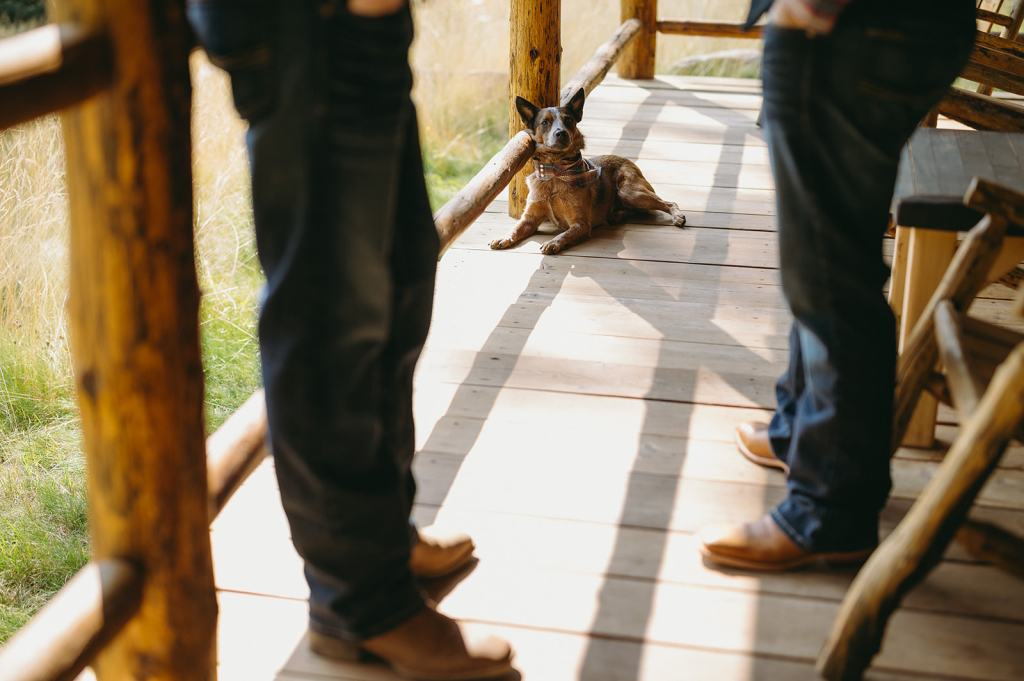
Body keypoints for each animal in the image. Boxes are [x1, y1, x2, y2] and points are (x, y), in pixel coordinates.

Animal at [489, 88, 686, 256]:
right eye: (545, 122)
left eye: (568, 120)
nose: (561, 133)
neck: (555, 172)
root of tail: (627, 160)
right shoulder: (529, 218)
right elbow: (515, 228)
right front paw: (504, 238)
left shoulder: (580, 224)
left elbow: (565, 234)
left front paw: (553, 242)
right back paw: (616, 215)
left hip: (629, 192)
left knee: (669, 202)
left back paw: (677, 216)